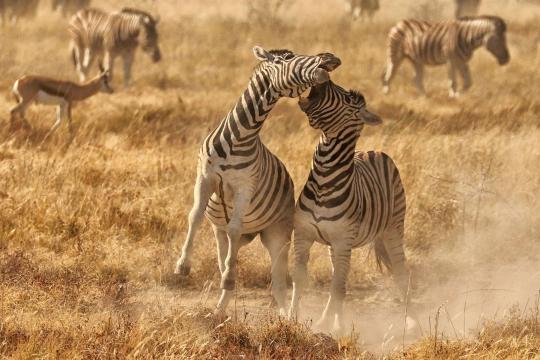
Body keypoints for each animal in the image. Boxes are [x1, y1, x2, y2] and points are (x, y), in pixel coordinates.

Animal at [174, 45, 342, 316]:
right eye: (287, 58)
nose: (331, 58)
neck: (239, 136)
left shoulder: (245, 186)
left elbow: (235, 227)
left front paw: (228, 277)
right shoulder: (205, 176)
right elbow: (195, 216)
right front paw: (182, 265)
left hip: (278, 235)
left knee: (278, 282)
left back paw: (285, 316)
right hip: (219, 231)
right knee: (225, 256)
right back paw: (219, 309)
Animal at [288, 81, 412, 332]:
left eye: (346, 99)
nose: (325, 80)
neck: (323, 180)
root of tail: (374, 150)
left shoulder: (342, 240)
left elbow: (336, 288)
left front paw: (323, 324)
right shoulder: (304, 235)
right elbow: (300, 279)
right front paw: (291, 318)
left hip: (393, 229)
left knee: (401, 273)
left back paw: (412, 322)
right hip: (335, 247)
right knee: (342, 281)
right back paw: (341, 325)